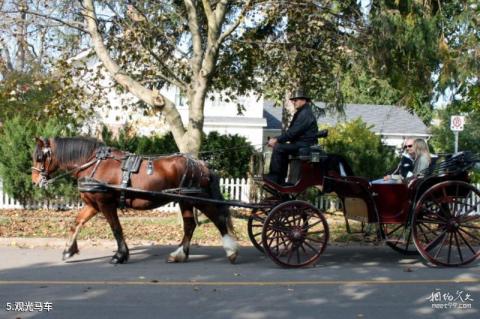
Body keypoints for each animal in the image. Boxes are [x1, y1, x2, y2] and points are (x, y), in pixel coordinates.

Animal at [31, 138, 238, 264]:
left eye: (40, 157)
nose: (34, 181)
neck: (93, 164)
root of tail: (201, 164)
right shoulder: (93, 204)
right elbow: (77, 222)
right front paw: (69, 250)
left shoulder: (106, 204)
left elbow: (116, 228)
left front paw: (120, 255)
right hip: (185, 201)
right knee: (189, 225)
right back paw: (179, 255)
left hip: (197, 198)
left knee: (218, 219)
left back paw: (231, 251)